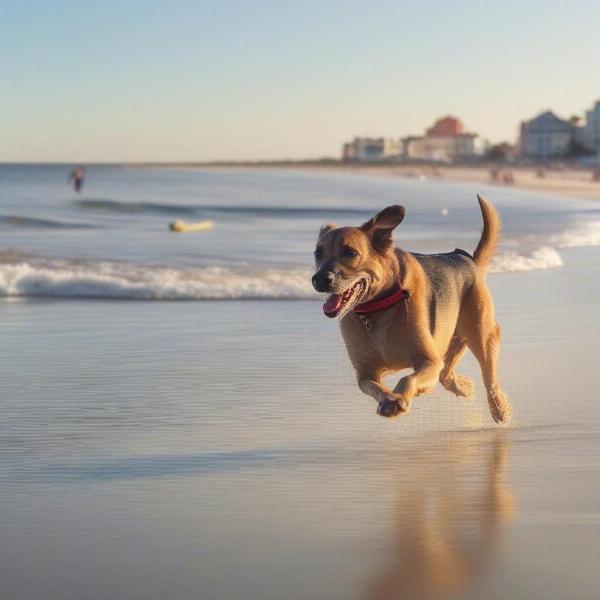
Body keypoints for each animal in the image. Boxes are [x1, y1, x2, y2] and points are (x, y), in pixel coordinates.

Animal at [312, 196, 512, 422]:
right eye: (318, 253)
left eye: (350, 252)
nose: (319, 279)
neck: (377, 308)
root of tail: (468, 260)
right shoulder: (366, 374)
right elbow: (376, 387)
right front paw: (389, 400)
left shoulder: (429, 361)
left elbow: (408, 379)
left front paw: (399, 398)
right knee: (447, 375)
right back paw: (466, 387)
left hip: (481, 336)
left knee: (489, 379)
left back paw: (500, 408)